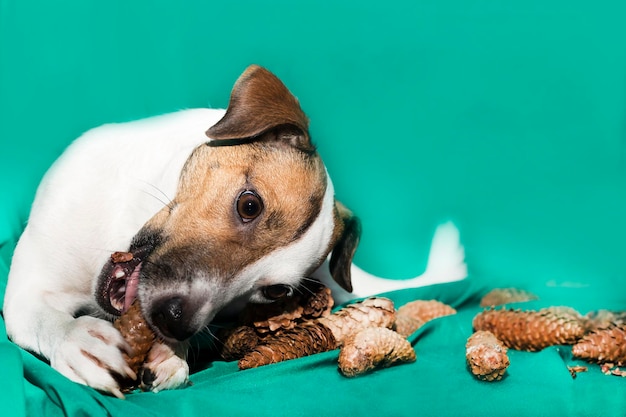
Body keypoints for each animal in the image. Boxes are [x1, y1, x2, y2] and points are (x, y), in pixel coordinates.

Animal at [3, 65, 464, 396]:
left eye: (275, 292)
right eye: (249, 205)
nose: (174, 323)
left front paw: (171, 356)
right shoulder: (27, 292)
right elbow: (46, 316)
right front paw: (80, 340)